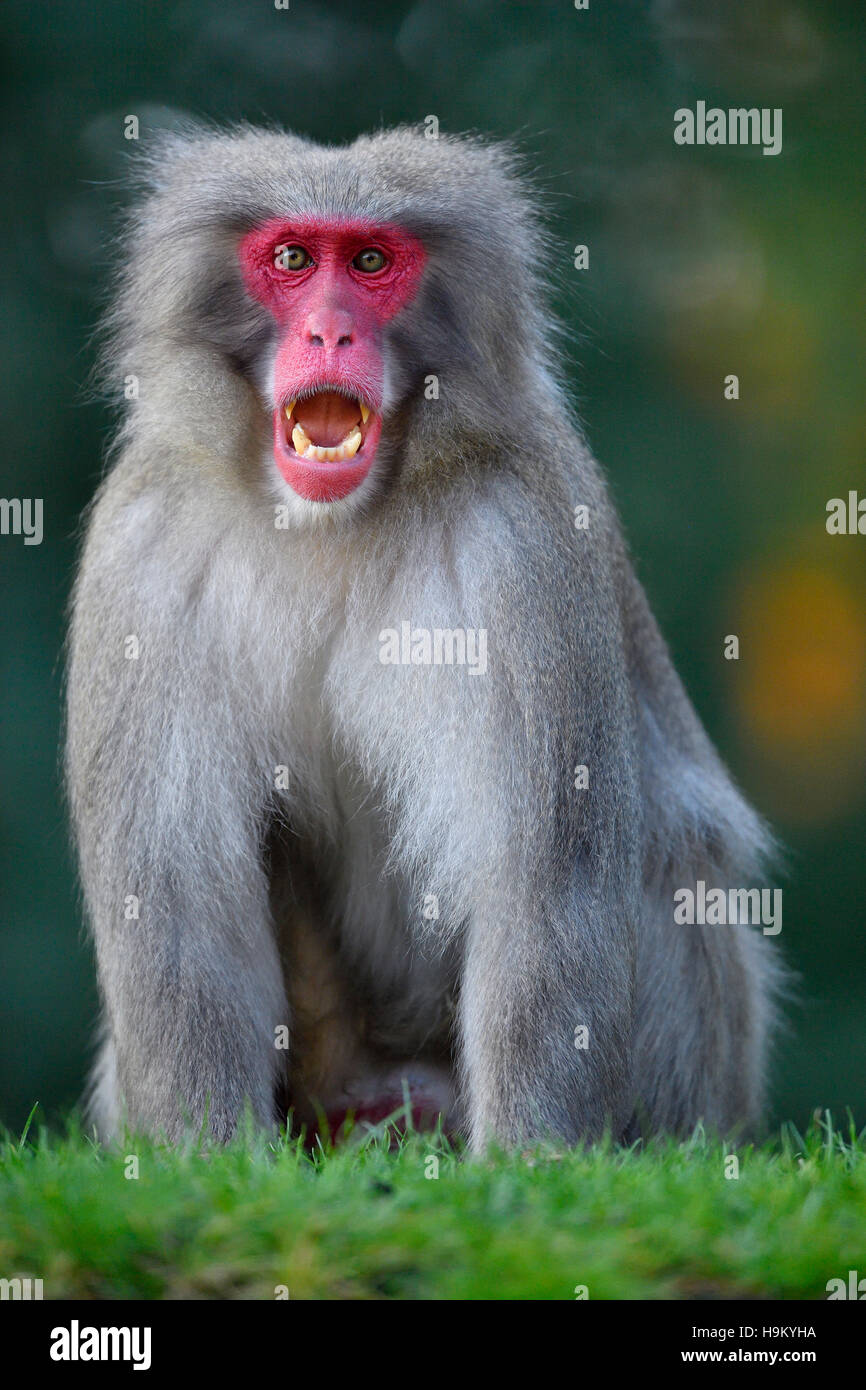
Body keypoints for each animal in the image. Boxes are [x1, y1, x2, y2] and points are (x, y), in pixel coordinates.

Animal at [66, 125, 783, 1150]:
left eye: (370, 263)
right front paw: (195, 1158)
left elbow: (544, 883)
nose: (329, 333)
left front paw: (528, 1166)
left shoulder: (523, 543)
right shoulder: (142, 544)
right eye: (294, 259)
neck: (330, 524)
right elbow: (172, 898)